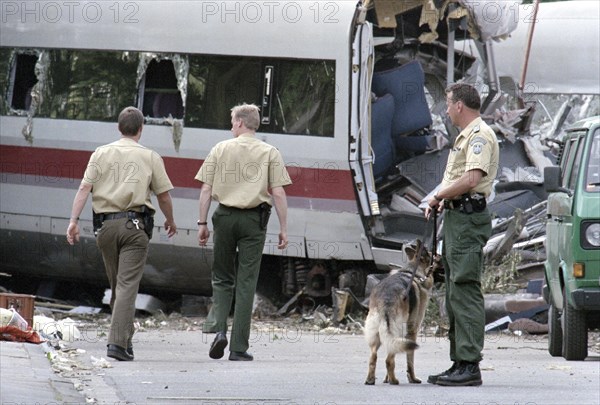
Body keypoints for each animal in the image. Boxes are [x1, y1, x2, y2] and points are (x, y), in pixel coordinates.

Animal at [364, 240, 438, 386]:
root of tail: (386, 299)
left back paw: (371, 379)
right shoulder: (413, 330)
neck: (413, 271)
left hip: (379, 334)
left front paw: (386, 379)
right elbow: (410, 360)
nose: (440, 255)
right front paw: (412, 378)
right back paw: (394, 381)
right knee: (389, 359)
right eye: (432, 254)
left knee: (373, 357)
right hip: (398, 332)